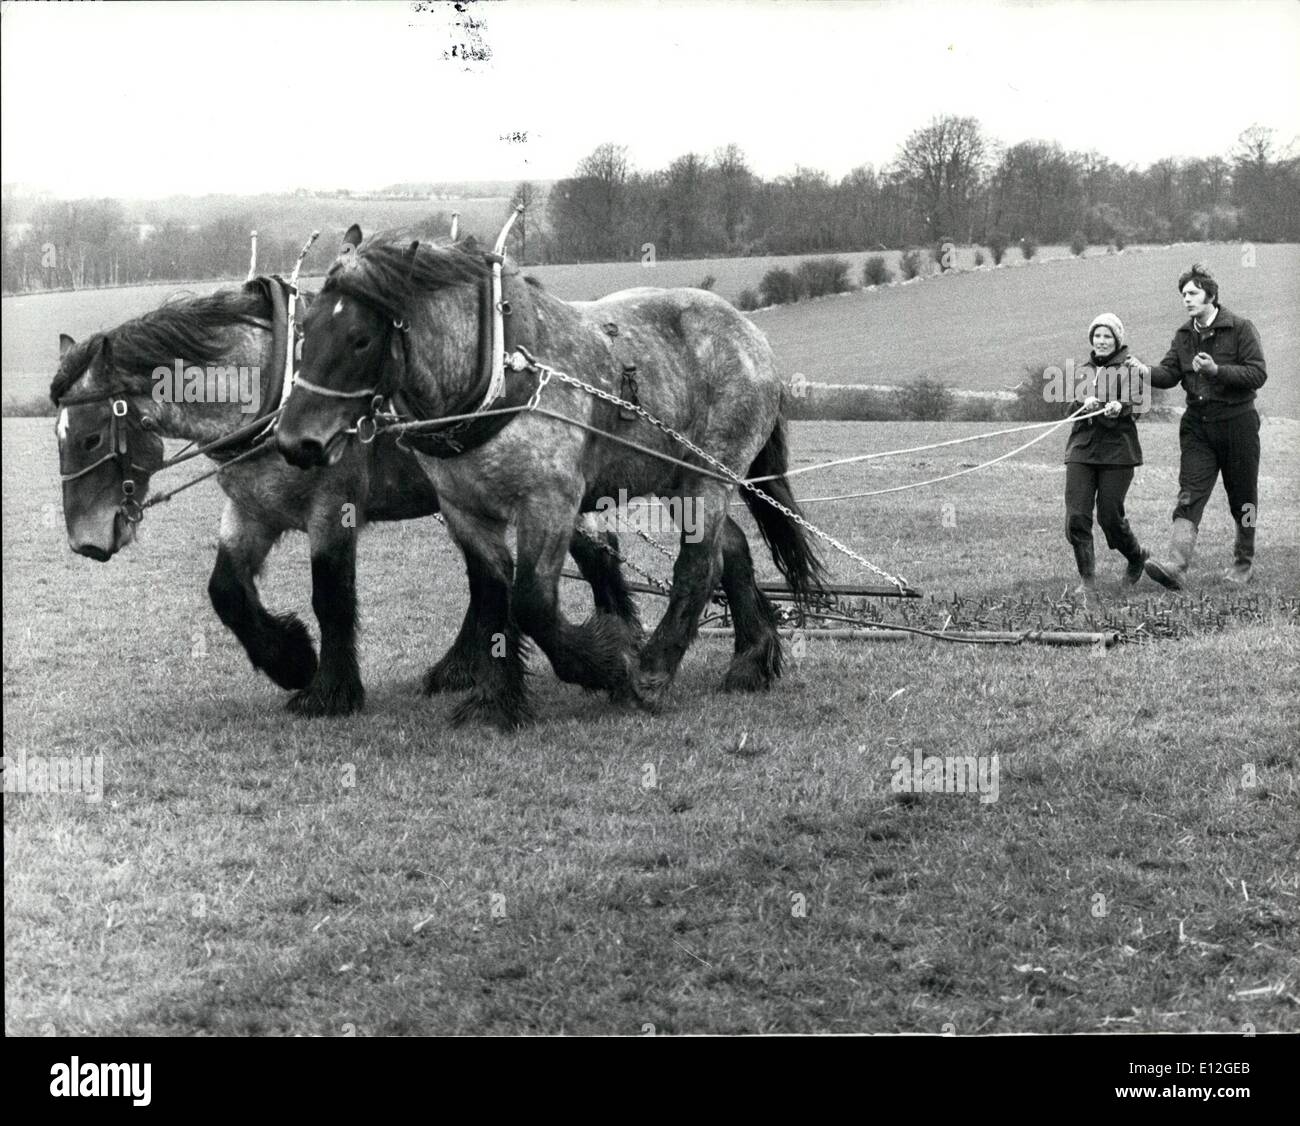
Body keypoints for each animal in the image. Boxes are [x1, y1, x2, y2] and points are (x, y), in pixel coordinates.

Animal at [51, 276, 639, 716]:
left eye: (90, 438)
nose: (85, 543)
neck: (272, 387)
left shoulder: (332, 509)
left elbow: (331, 598)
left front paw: (329, 691)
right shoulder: (251, 510)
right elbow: (226, 591)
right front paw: (289, 658)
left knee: (587, 557)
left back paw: (619, 643)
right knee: (520, 575)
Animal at [275, 226, 825, 729]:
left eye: (361, 338)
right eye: (304, 331)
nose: (294, 442)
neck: (494, 374)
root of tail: (749, 334)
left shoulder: (549, 503)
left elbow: (532, 603)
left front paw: (608, 662)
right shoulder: (464, 510)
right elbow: (492, 599)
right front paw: (495, 700)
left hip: (710, 476)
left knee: (698, 567)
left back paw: (652, 672)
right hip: (678, 480)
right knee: (732, 549)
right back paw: (750, 661)